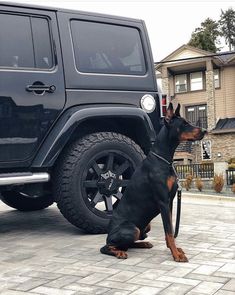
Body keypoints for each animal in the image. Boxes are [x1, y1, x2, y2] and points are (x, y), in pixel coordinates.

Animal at [100, 103, 207, 264]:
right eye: (184, 124)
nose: (205, 131)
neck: (164, 159)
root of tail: (109, 234)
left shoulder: (170, 202)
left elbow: (170, 230)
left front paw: (175, 249)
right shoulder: (163, 202)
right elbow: (169, 231)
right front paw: (176, 255)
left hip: (145, 227)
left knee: (130, 243)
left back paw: (143, 244)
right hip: (132, 229)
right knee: (107, 247)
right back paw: (119, 252)